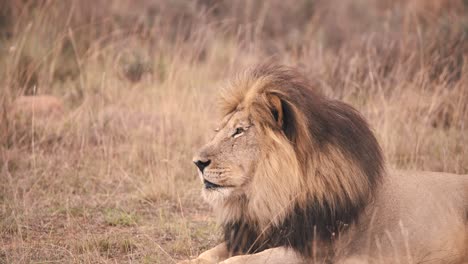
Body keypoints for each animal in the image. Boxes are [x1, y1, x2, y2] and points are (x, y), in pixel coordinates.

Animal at [178, 64, 464, 264]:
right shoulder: (256, 235)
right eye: (220, 130)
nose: (197, 163)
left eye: (239, 131)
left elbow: (240, 260)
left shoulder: (314, 251)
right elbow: (210, 254)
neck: (270, 196)